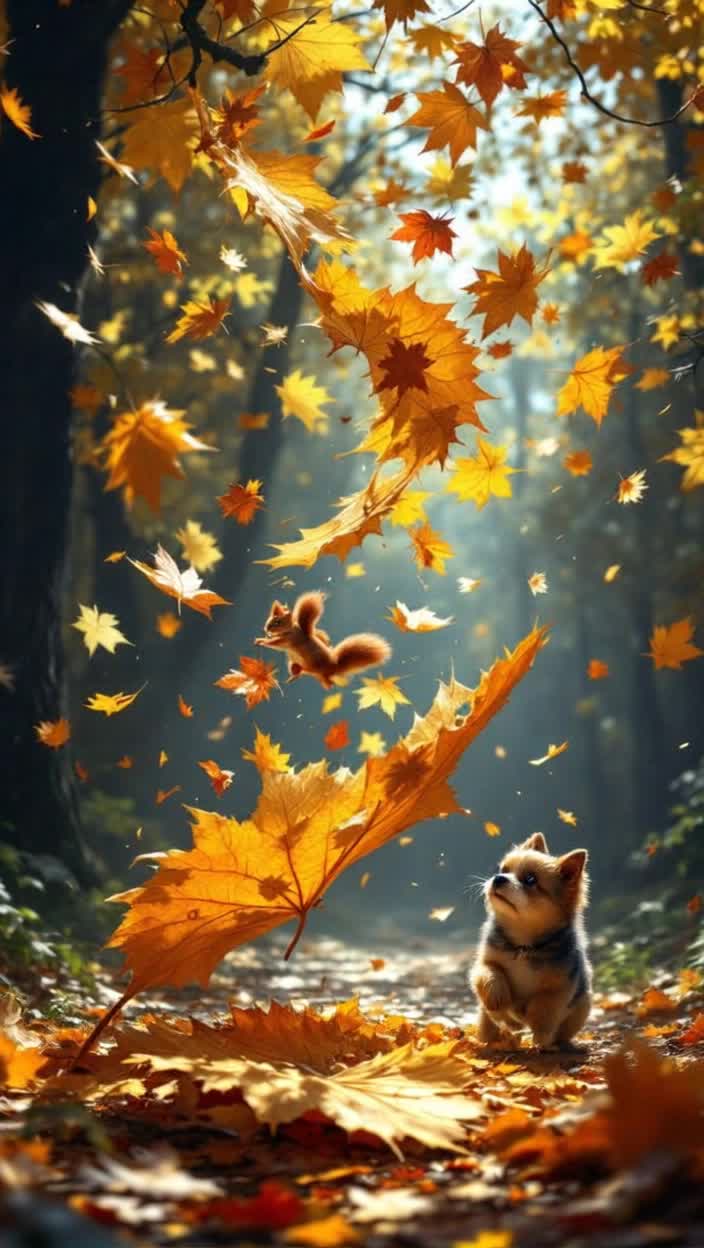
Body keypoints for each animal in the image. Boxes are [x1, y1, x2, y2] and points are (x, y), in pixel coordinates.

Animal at [255, 591, 391, 689]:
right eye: (269, 619)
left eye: (278, 622)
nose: (266, 628)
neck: (290, 629)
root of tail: (334, 667)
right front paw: (264, 637)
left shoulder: (290, 639)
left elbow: (275, 643)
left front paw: (260, 641)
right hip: (294, 664)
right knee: (300, 672)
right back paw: (292, 678)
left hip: (317, 668)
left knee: (328, 682)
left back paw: (328, 685)